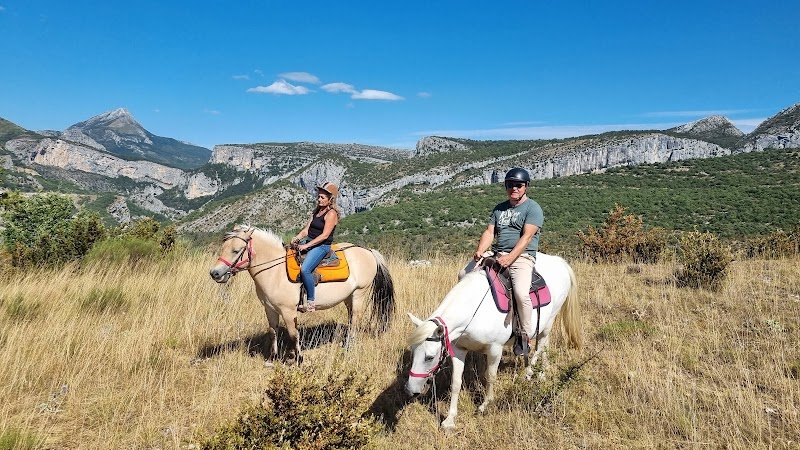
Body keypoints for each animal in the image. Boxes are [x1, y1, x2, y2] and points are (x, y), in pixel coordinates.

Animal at [209, 225, 395, 362]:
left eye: (236, 250)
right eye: (223, 248)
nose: (215, 273)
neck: (275, 272)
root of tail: (368, 251)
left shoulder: (288, 311)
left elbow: (293, 335)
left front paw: (297, 359)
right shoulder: (270, 309)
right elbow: (273, 332)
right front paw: (273, 358)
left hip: (359, 294)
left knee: (356, 318)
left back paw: (349, 347)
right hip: (348, 297)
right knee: (351, 319)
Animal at [404, 253, 582, 429]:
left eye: (429, 357)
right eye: (413, 353)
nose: (410, 390)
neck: (475, 310)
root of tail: (559, 261)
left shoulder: (495, 349)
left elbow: (490, 376)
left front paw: (485, 405)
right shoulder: (459, 349)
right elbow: (456, 382)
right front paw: (450, 419)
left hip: (550, 319)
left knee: (540, 345)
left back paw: (530, 372)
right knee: (545, 345)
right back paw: (543, 372)